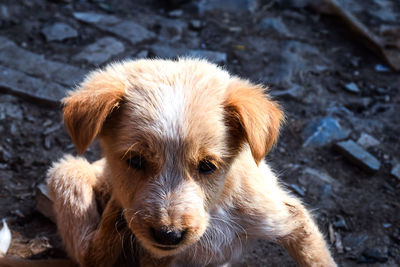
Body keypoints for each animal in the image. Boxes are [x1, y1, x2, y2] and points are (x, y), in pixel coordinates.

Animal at [45, 59, 336, 267]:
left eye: (207, 165)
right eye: (136, 160)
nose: (168, 235)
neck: (216, 211)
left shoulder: (288, 217)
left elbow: (317, 258)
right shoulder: (157, 259)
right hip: (67, 171)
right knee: (89, 254)